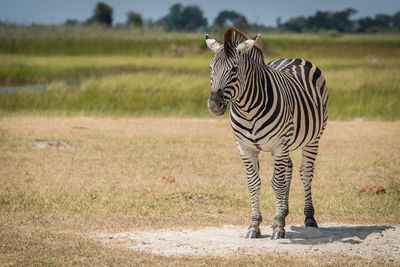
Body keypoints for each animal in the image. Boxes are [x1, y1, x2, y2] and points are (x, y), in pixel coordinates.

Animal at [206, 27, 328, 241]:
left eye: (234, 69)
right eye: (211, 69)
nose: (214, 105)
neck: (248, 109)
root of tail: (294, 58)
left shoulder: (279, 144)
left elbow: (277, 183)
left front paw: (279, 227)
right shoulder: (245, 147)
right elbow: (253, 183)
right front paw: (255, 225)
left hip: (312, 139)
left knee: (305, 173)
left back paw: (309, 218)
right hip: (286, 144)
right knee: (288, 169)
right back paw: (283, 214)